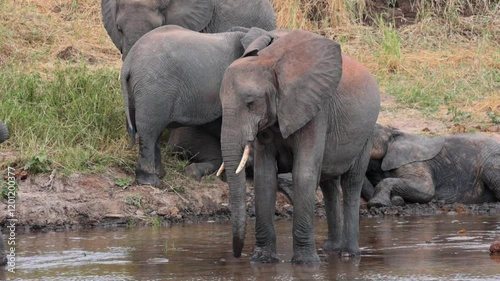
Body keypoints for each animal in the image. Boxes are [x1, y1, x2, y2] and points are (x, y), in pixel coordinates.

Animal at [218, 29, 378, 264]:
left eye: (251, 104)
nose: (237, 255)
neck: (269, 61)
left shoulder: (315, 107)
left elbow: (304, 173)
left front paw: (305, 263)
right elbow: (264, 177)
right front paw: (262, 261)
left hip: (366, 133)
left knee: (351, 182)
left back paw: (348, 254)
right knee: (329, 184)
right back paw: (331, 249)